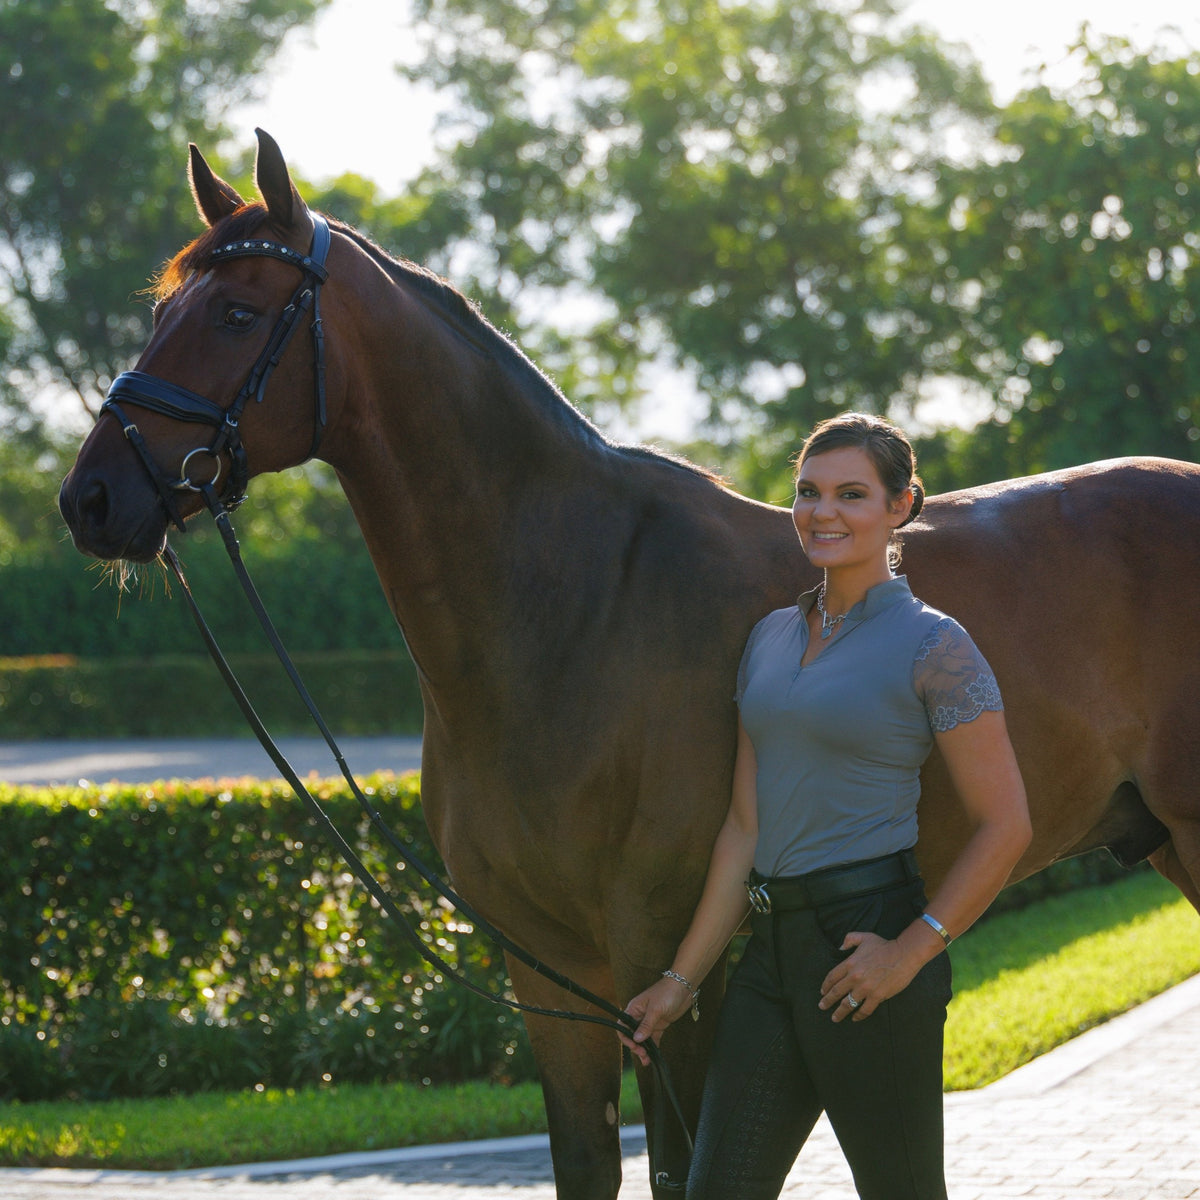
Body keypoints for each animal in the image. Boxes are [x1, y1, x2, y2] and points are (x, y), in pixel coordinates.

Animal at [60, 126, 1200, 1195]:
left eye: (237, 312)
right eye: (161, 307)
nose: (92, 498)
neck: (572, 607)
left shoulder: (667, 959)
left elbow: (679, 1167)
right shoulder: (549, 973)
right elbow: (587, 1162)